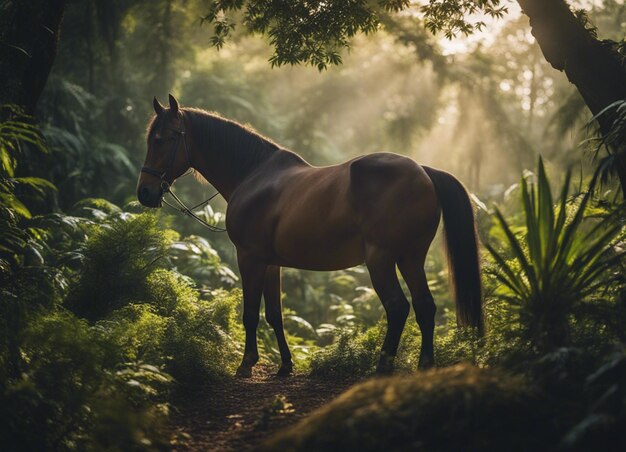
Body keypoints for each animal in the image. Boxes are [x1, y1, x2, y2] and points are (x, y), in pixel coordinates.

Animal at [136, 95, 480, 378]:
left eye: (163, 139)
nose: (145, 192)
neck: (254, 176)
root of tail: (423, 171)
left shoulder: (249, 258)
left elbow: (251, 314)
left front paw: (246, 364)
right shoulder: (271, 264)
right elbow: (275, 315)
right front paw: (285, 366)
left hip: (381, 260)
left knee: (397, 307)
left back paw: (382, 367)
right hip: (410, 259)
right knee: (425, 307)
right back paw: (425, 366)